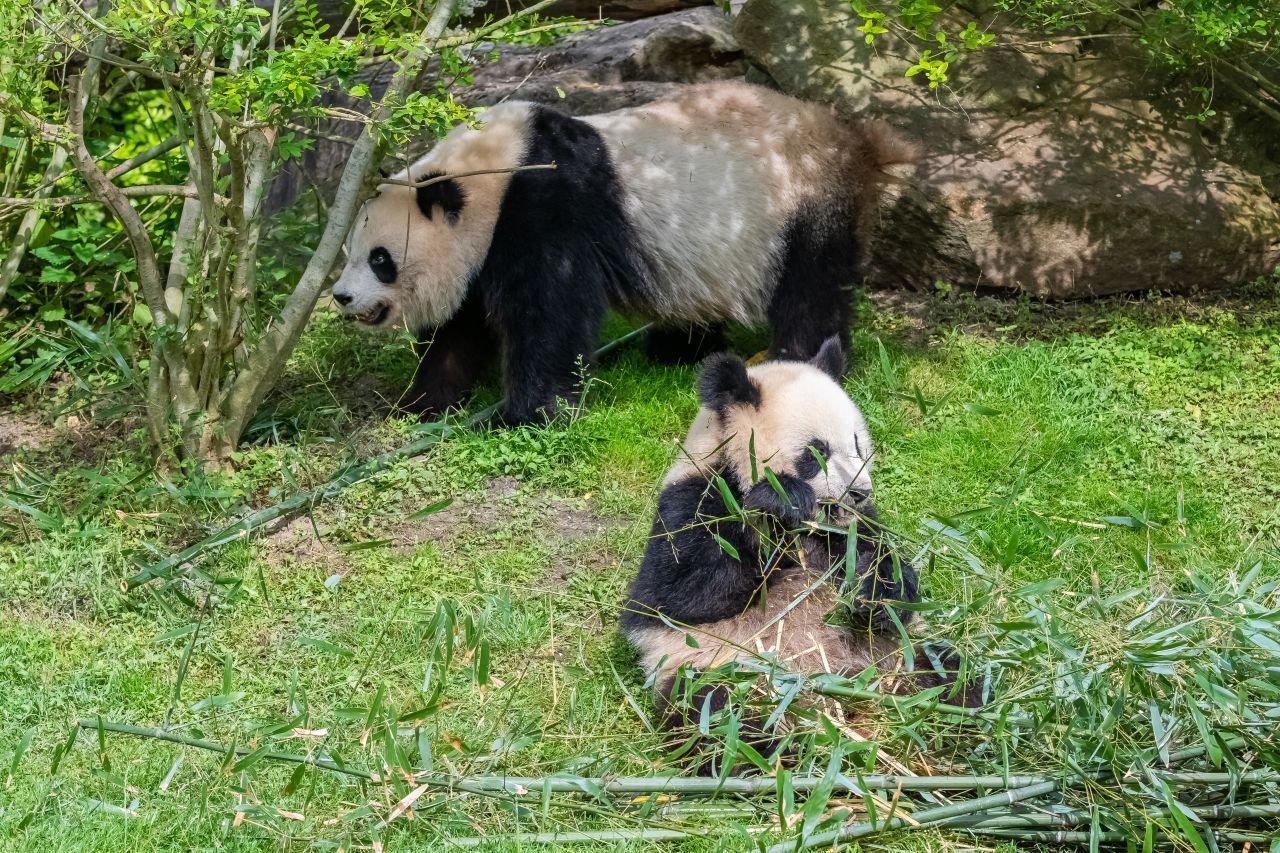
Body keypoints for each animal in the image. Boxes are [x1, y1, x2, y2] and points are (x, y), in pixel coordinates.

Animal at [330, 81, 911, 425]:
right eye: (350, 251)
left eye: (379, 258)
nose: (340, 296)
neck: (492, 174)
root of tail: (854, 139)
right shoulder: (484, 246)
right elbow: (460, 327)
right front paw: (419, 404)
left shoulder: (543, 206)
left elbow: (550, 313)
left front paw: (526, 413)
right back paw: (677, 351)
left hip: (801, 204)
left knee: (810, 286)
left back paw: (797, 359)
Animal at [622, 335, 967, 747]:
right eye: (817, 452)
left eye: (857, 444)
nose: (859, 492)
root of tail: (835, 694)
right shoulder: (693, 499)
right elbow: (682, 594)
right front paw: (781, 499)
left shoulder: (854, 527)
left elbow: (889, 576)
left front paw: (876, 592)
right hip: (720, 668)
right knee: (720, 718)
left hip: (897, 653)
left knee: (950, 673)